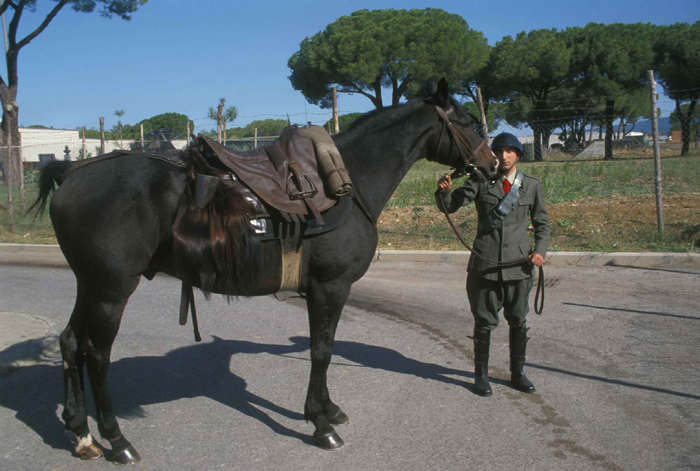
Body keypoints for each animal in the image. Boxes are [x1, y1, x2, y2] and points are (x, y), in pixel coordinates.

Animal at [32, 79, 498, 462]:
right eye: (467, 121)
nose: (493, 165)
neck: (347, 180)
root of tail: (71, 172)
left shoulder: (326, 290)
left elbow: (324, 347)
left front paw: (329, 409)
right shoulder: (330, 286)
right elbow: (322, 351)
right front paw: (320, 424)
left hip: (89, 284)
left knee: (71, 343)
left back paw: (81, 433)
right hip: (111, 290)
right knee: (97, 356)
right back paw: (117, 440)